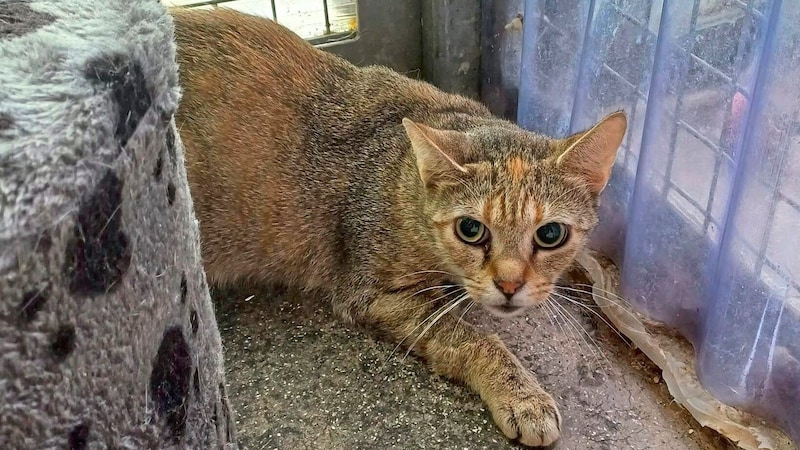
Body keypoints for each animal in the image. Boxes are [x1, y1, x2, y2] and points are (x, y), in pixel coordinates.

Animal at [172, 7, 628, 446]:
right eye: (471, 230)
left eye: (550, 235)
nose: (510, 285)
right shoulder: (373, 295)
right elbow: (473, 339)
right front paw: (522, 395)